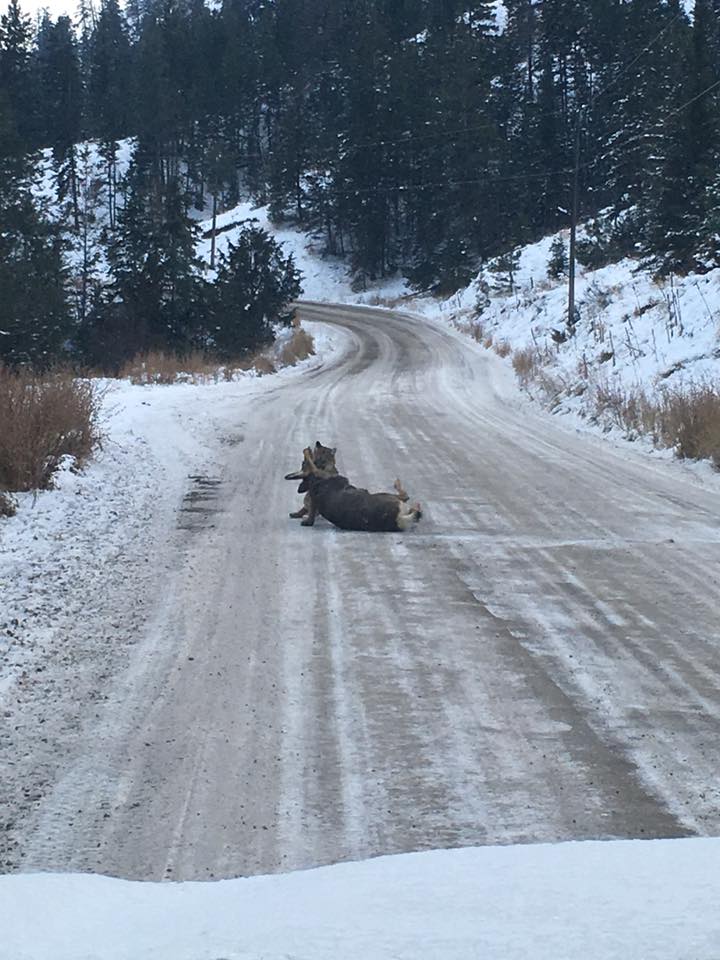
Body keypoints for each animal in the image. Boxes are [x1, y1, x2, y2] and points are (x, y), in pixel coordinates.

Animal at [286, 444, 422, 532]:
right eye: (302, 463)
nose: (317, 443)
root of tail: (397, 519)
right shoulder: (319, 474)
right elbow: (313, 465)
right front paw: (306, 452)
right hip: (385, 495)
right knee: (405, 497)